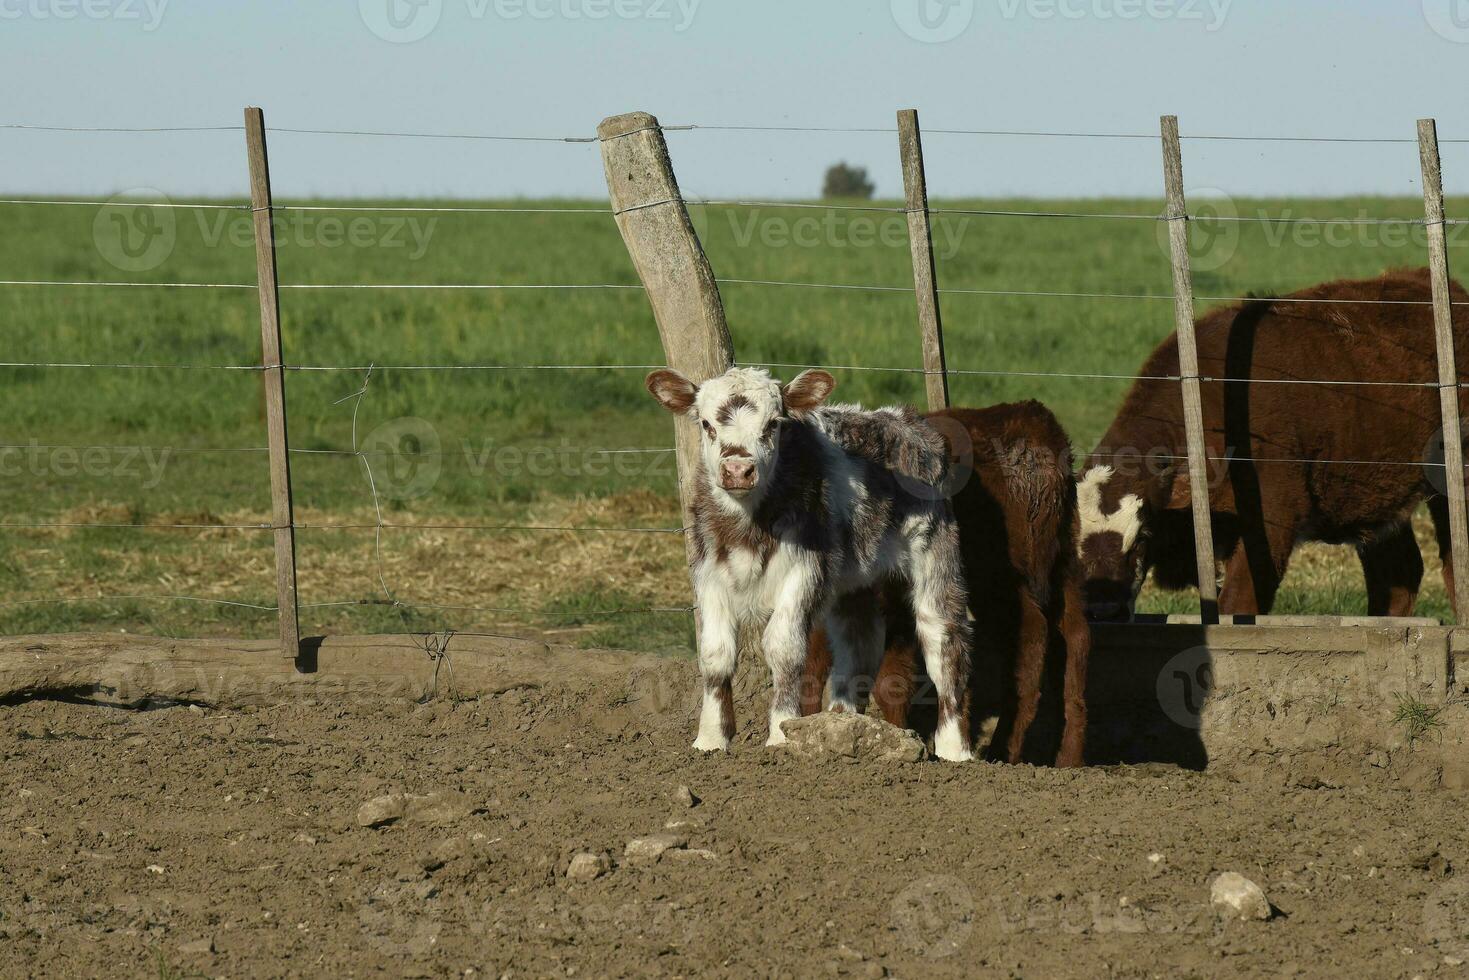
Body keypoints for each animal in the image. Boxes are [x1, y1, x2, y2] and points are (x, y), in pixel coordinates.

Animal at [646, 365, 975, 758]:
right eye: (706, 423)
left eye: (773, 424)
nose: (738, 469)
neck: (749, 526)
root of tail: (904, 419)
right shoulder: (708, 572)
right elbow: (715, 653)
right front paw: (710, 740)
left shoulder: (804, 571)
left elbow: (784, 649)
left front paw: (780, 733)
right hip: (856, 582)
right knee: (858, 645)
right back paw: (842, 723)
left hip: (935, 559)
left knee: (944, 645)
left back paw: (954, 750)